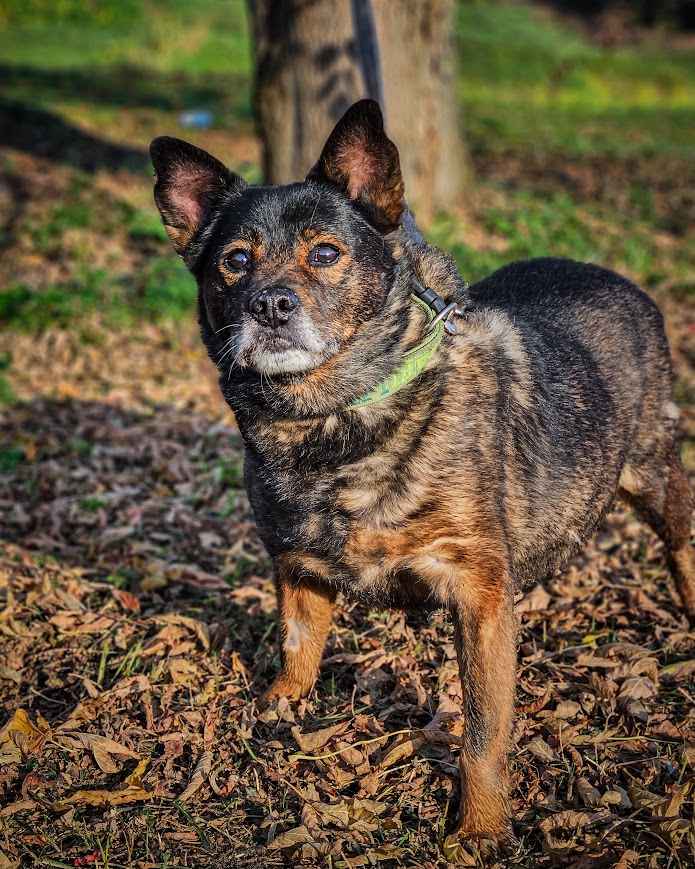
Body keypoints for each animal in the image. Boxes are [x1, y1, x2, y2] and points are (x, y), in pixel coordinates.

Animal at [152, 100, 695, 840]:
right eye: (235, 263)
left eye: (326, 253)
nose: (269, 305)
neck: (336, 424)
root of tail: (618, 278)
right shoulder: (297, 568)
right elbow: (297, 650)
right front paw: (276, 711)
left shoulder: (479, 597)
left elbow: (483, 732)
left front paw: (480, 828)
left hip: (654, 472)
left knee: (681, 542)